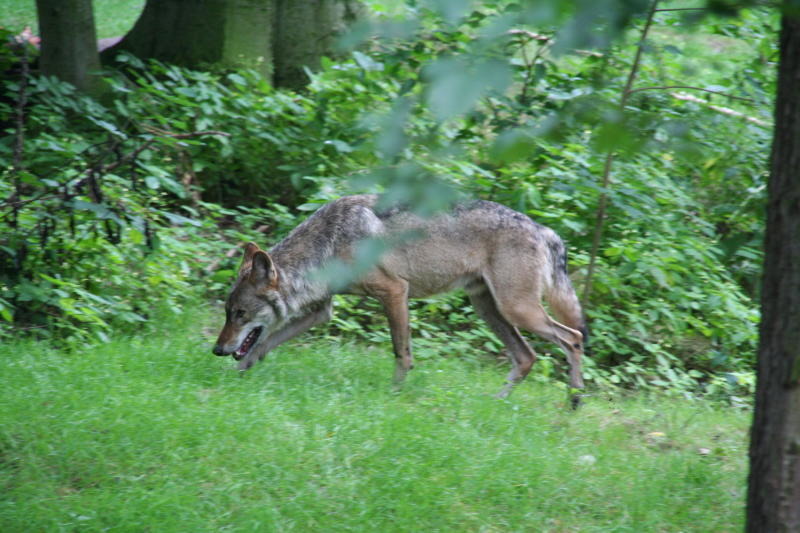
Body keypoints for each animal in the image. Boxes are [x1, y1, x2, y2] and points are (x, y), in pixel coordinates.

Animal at [212, 193, 588, 402]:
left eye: (240, 314)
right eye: (228, 312)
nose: (216, 350)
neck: (330, 243)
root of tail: (545, 230)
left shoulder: (395, 292)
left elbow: (401, 353)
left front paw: (394, 395)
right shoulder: (321, 311)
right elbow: (264, 343)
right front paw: (239, 373)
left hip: (518, 311)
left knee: (574, 338)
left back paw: (573, 403)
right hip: (490, 310)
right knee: (527, 358)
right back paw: (497, 401)